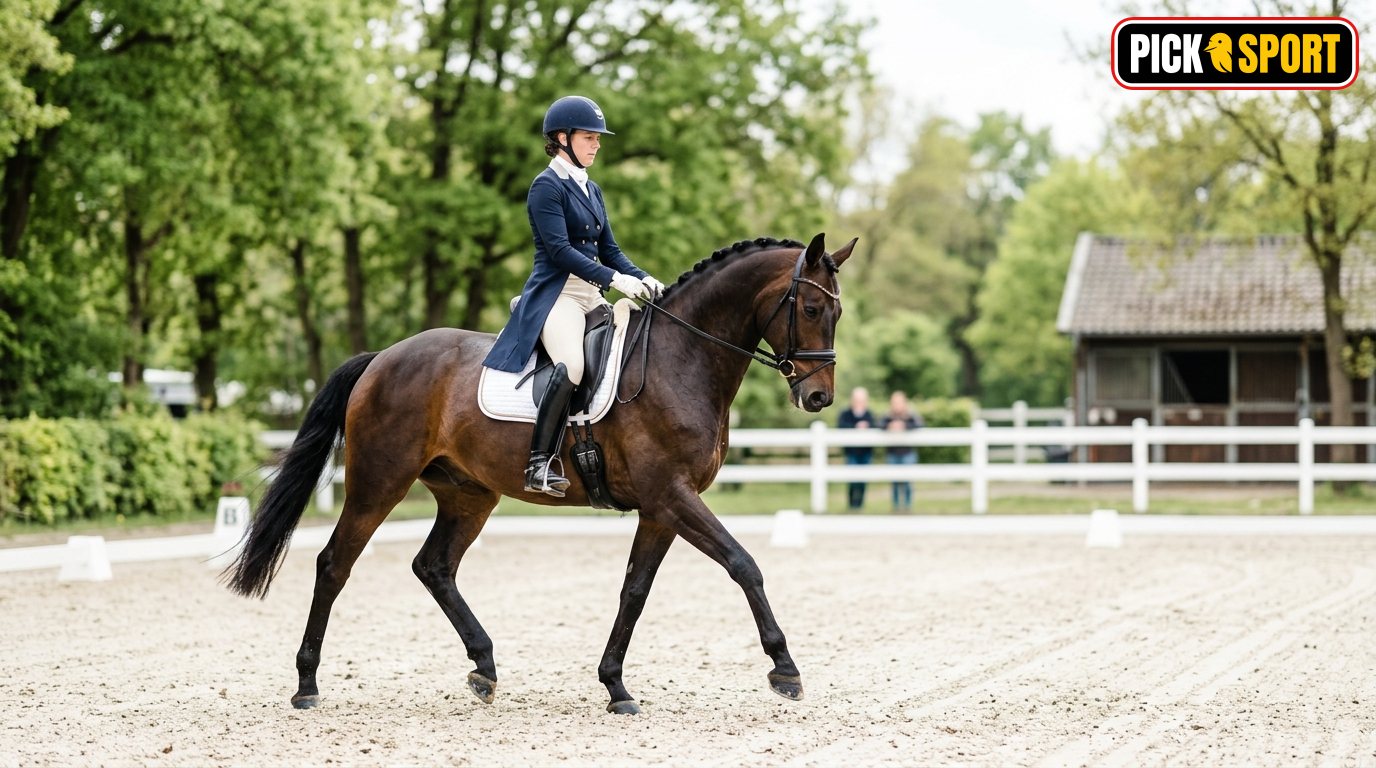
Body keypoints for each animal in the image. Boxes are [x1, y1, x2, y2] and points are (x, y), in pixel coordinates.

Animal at [224, 232, 857, 714]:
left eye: (838, 312)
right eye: (810, 309)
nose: (819, 397)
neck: (683, 358)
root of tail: (382, 357)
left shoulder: (660, 508)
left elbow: (635, 591)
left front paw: (615, 686)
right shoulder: (672, 496)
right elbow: (743, 564)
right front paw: (785, 669)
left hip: (469, 494)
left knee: (434, 566)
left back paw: (484, 668)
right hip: (378, 482)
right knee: (335, 564)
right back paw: (307, 685)